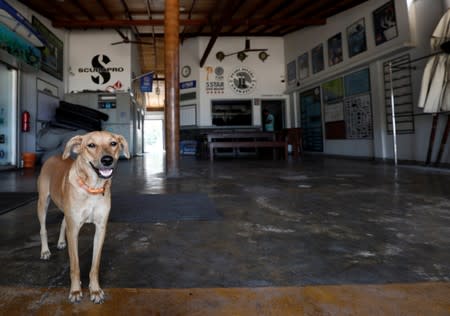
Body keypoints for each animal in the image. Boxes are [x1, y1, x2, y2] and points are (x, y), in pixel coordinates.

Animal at [36, 130, 128, 304]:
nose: (107, 160)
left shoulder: (100, 229)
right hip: (43, 202)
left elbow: (95, 265)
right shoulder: (73, 232)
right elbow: (75, 266)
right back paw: (45, 251)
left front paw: (95, 290)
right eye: (91, 145)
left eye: (113, 143)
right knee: (43, 229)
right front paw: (76, 290)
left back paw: (60, 242)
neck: (92, 187)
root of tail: (54, 156)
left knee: (63, 222)